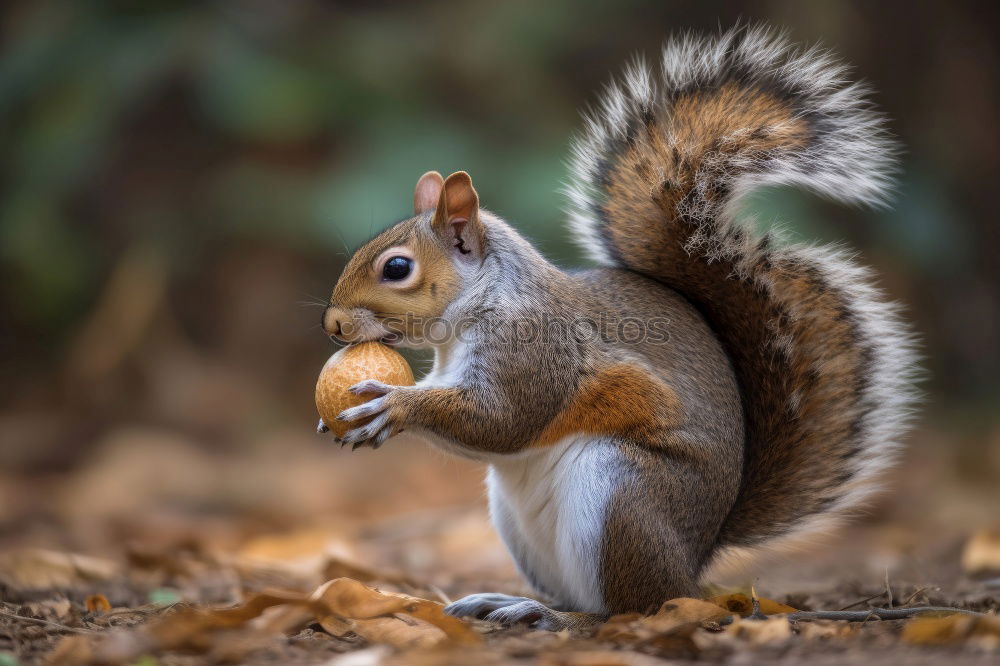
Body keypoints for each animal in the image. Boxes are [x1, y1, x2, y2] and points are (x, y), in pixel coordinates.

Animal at [316, 26, 916, 628]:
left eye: (397, 268)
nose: (333, 324)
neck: (478, 305)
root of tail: (696, 561)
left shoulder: (535, 345)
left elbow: (502, 420)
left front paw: (394, 405)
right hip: (523, 524)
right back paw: (512, 602)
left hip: (620, 493)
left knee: (634, 607)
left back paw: (558, 619)